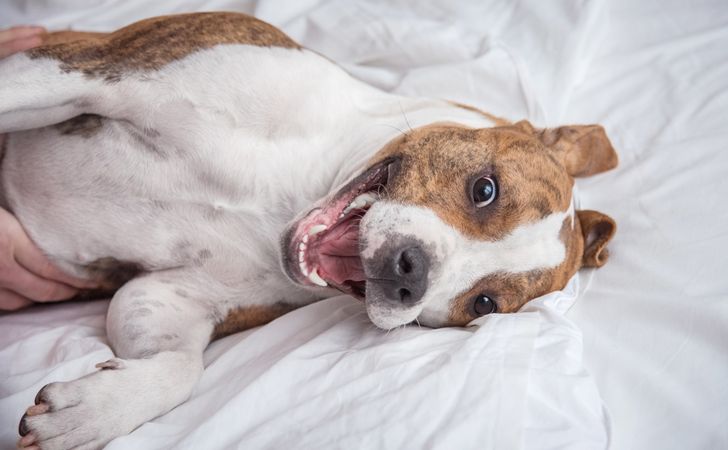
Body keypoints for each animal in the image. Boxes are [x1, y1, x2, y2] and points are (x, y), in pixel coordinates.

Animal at [0, 13, 616, 450]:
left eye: (484, 304)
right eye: (485, 189)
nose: (409, 275)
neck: (295, 191)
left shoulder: (164, 296)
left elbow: (181, 368)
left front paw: (92, 412)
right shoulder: (84, 70)